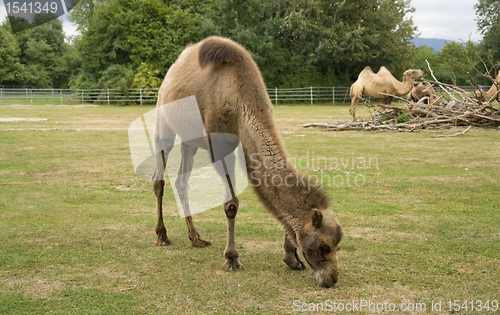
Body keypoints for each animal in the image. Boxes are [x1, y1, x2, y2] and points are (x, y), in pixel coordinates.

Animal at [152, 37, 344, 288]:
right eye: (323, 246)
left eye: (337, 245)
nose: (331, 279)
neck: (239, 101)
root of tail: (171, 73)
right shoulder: (220, 146)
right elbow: (231, 204)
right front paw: (232, 259)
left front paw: (292, 258)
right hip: (163, 120)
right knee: (159, 179)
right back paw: (162, 235)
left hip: (190, 141)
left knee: (182, 182)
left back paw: (196, 238)